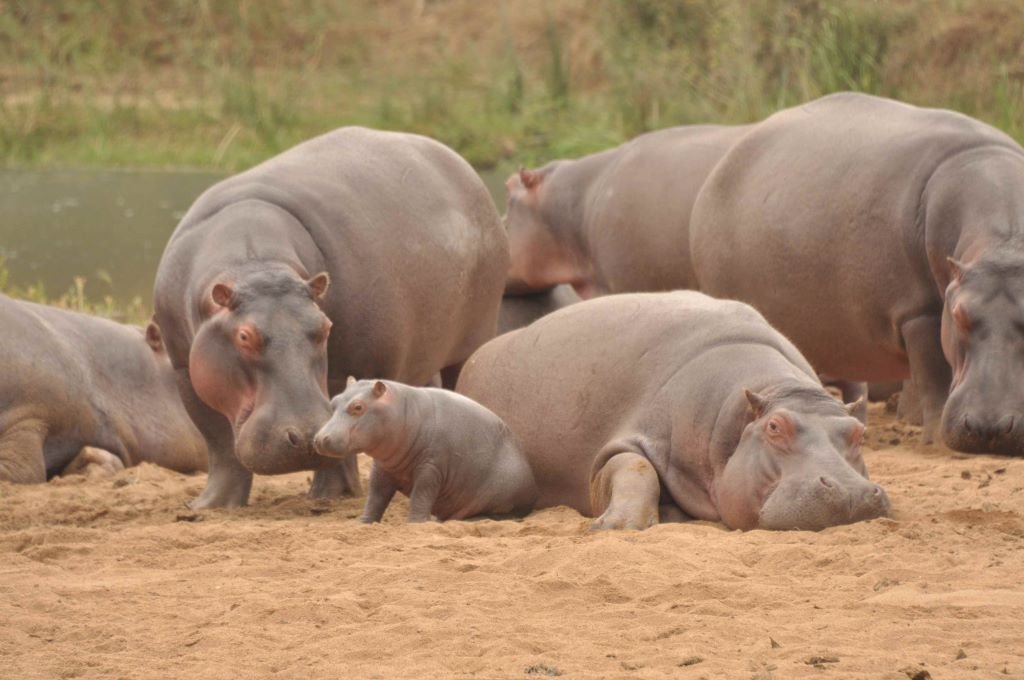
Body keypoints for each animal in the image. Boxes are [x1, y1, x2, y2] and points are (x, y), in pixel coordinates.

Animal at [153, 127, 508, 508]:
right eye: (244, 336)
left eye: (325, 328)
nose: (305, 438)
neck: (255, 262)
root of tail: (466, 169)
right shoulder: (186, 369)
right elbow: (220, 445)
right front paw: (210, 505)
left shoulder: (352, 361)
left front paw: (330, 496)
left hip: (473, 337)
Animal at [314, 378, 537, 522]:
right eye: (333, 401)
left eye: (358, 407)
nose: (320, 439)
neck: (402, 410)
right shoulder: (383, 468)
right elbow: (375, 497)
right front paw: (363, 522)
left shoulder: (431, 468)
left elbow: (421, 494)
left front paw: (416, 523)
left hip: (500, 497)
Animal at [457, 292, 889, 531]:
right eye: (775, 427)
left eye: (857, 432)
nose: (850, 492)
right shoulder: (626, 442)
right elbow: (634, 466)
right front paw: (615, 525)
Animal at [689, 92, 1024, 454]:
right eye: (959, 316)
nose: (990, 429)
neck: (1002, 245)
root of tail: (719, 169)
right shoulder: (917, 312)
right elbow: (934, 376)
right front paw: (936, 444)